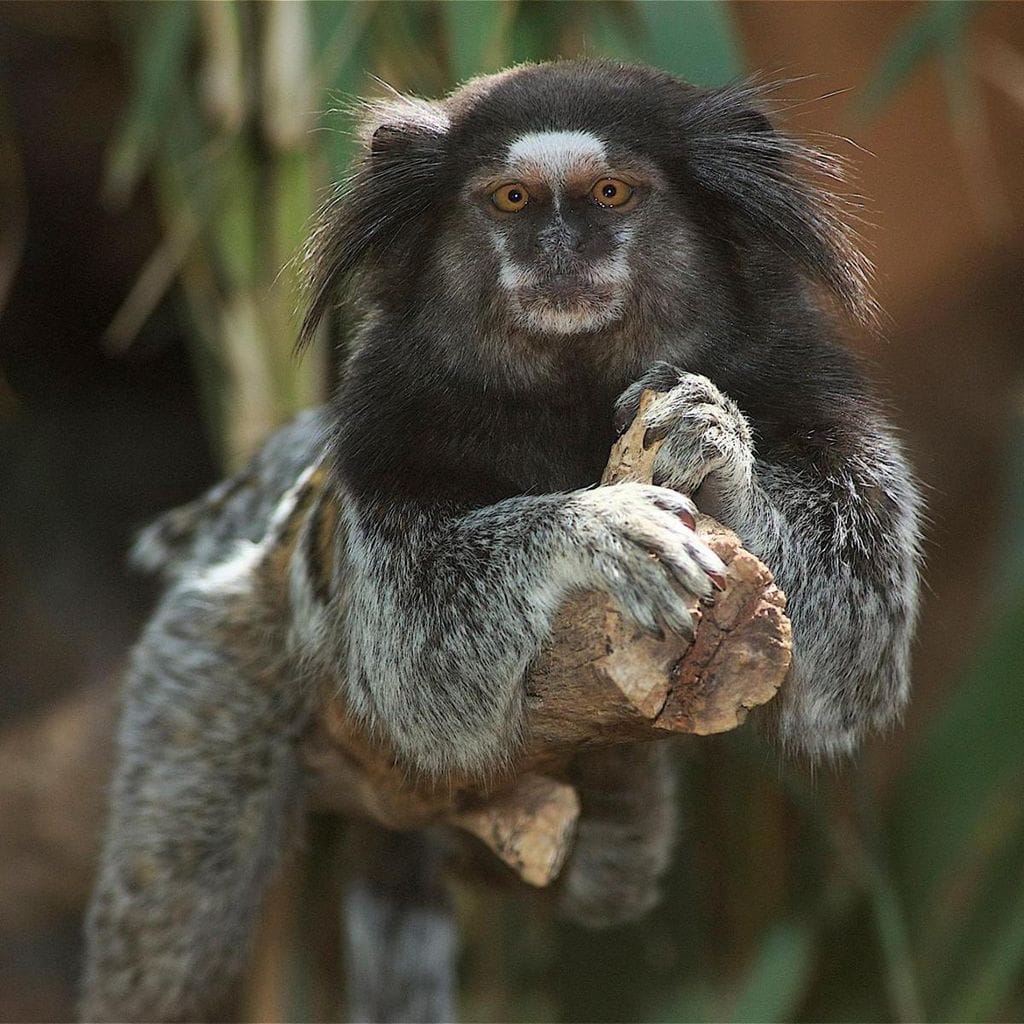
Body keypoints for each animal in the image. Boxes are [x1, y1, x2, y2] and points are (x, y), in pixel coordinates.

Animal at [81, 59, 921, 1019]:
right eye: (512, 199)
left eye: (610, 192)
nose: (558, 249)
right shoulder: (388, 435)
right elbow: (415, 665)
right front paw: (601, 528)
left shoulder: (803, 385)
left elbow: (856, 653)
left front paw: (715, 447)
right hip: (214, 653)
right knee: (171, 916)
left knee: (610, 874)